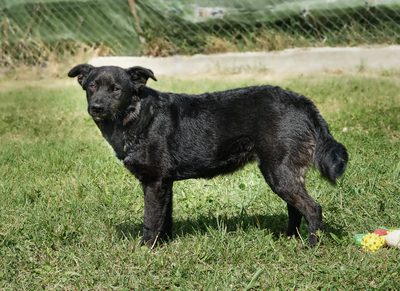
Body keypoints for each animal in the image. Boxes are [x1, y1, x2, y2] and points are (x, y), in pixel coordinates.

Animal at [69, 65, 346, 248]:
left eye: (116, 90)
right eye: (92, 86)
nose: (96, 107)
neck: (137, 116)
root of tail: (302, 101)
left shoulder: (154, 182)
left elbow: (150, 220)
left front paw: (146, 249)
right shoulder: (164, 183)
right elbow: (165, 219)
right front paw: (164, 246)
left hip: (278, 173)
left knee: (312, 209)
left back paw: (311, 247)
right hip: (282, 173)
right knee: (295, 209)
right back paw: (289, 239)